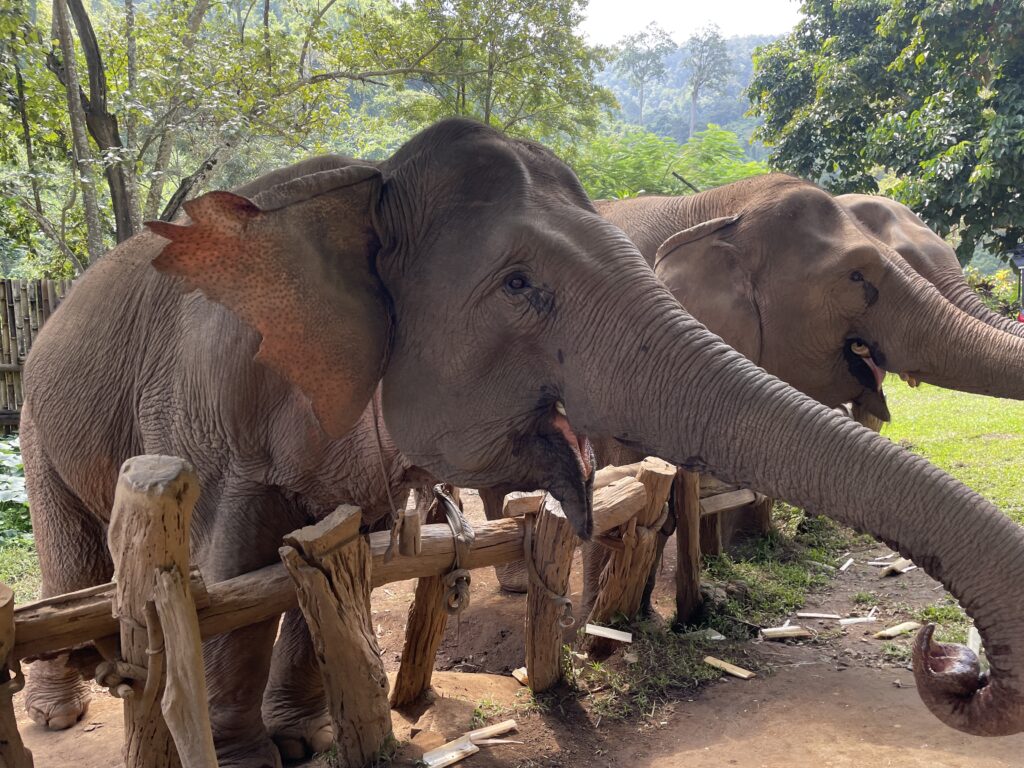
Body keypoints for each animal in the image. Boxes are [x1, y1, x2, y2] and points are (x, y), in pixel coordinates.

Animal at [22, 121, 1024, 768]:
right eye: (517, 285)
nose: (948, 658)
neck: (364, 187)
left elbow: (328, 555)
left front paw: (307, 738)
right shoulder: (206, 399)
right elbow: (232, 573)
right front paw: (249, 758)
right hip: (38, 412)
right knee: (71, 542)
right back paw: (71, 700)